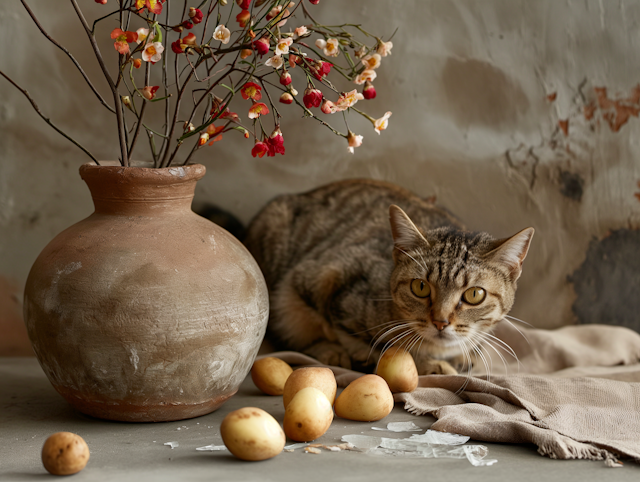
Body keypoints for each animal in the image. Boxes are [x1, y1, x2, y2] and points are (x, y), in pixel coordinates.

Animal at [242, 179, 532, 374]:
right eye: (420, 287)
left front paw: (463, 354)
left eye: (474, 294)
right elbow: (388, 347)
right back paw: (331, 352)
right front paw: (429, 363)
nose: (440, 322)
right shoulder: (326, 280)